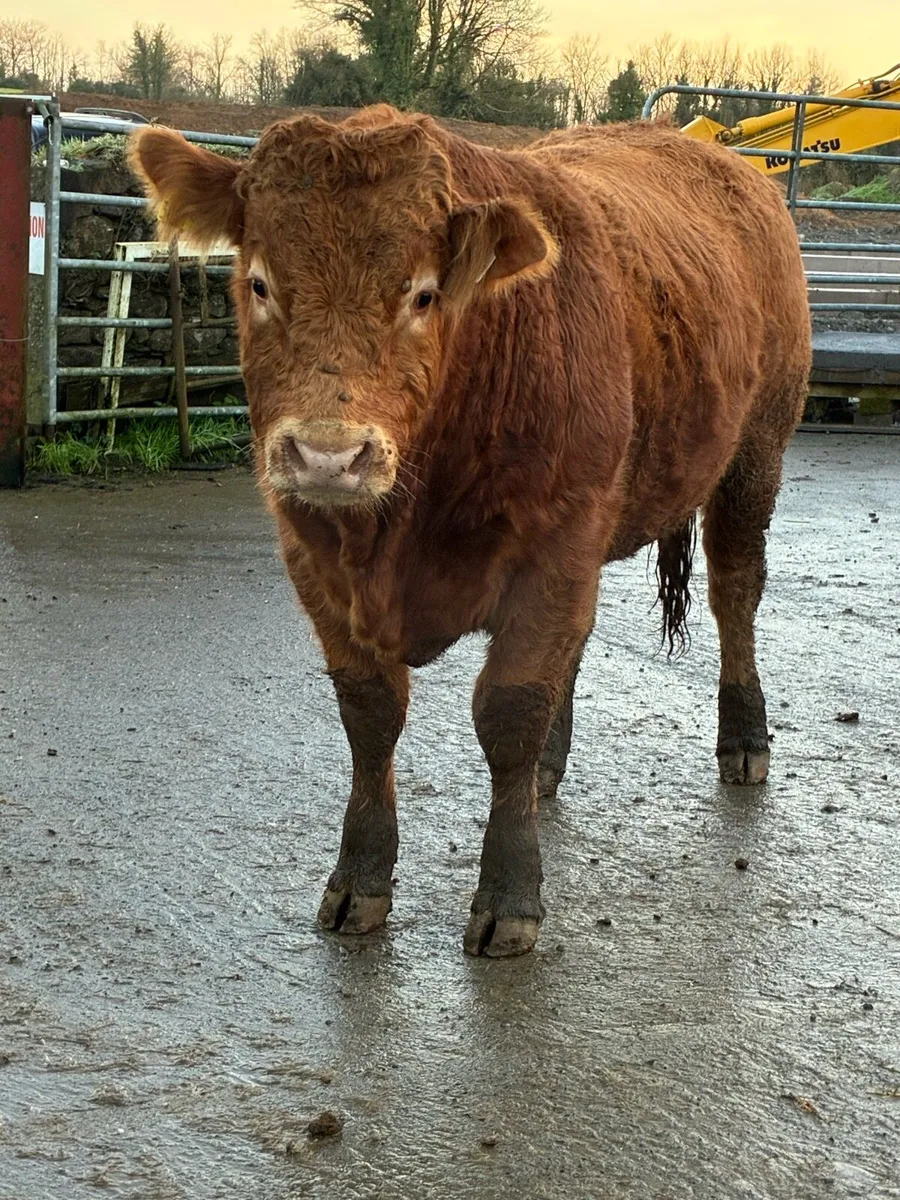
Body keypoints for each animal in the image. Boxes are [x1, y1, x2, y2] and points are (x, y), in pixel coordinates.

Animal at [131, 106, 810, 958]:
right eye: (259, 282)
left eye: (423, 294)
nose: (328, 454)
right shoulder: (316, 562)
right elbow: (371, 714)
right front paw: (359, 878)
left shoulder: (552, 551)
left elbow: (510, 711)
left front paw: (510, 895)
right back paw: (553, 766)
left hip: (755, 455)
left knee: (735, 593)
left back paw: (744, 739)